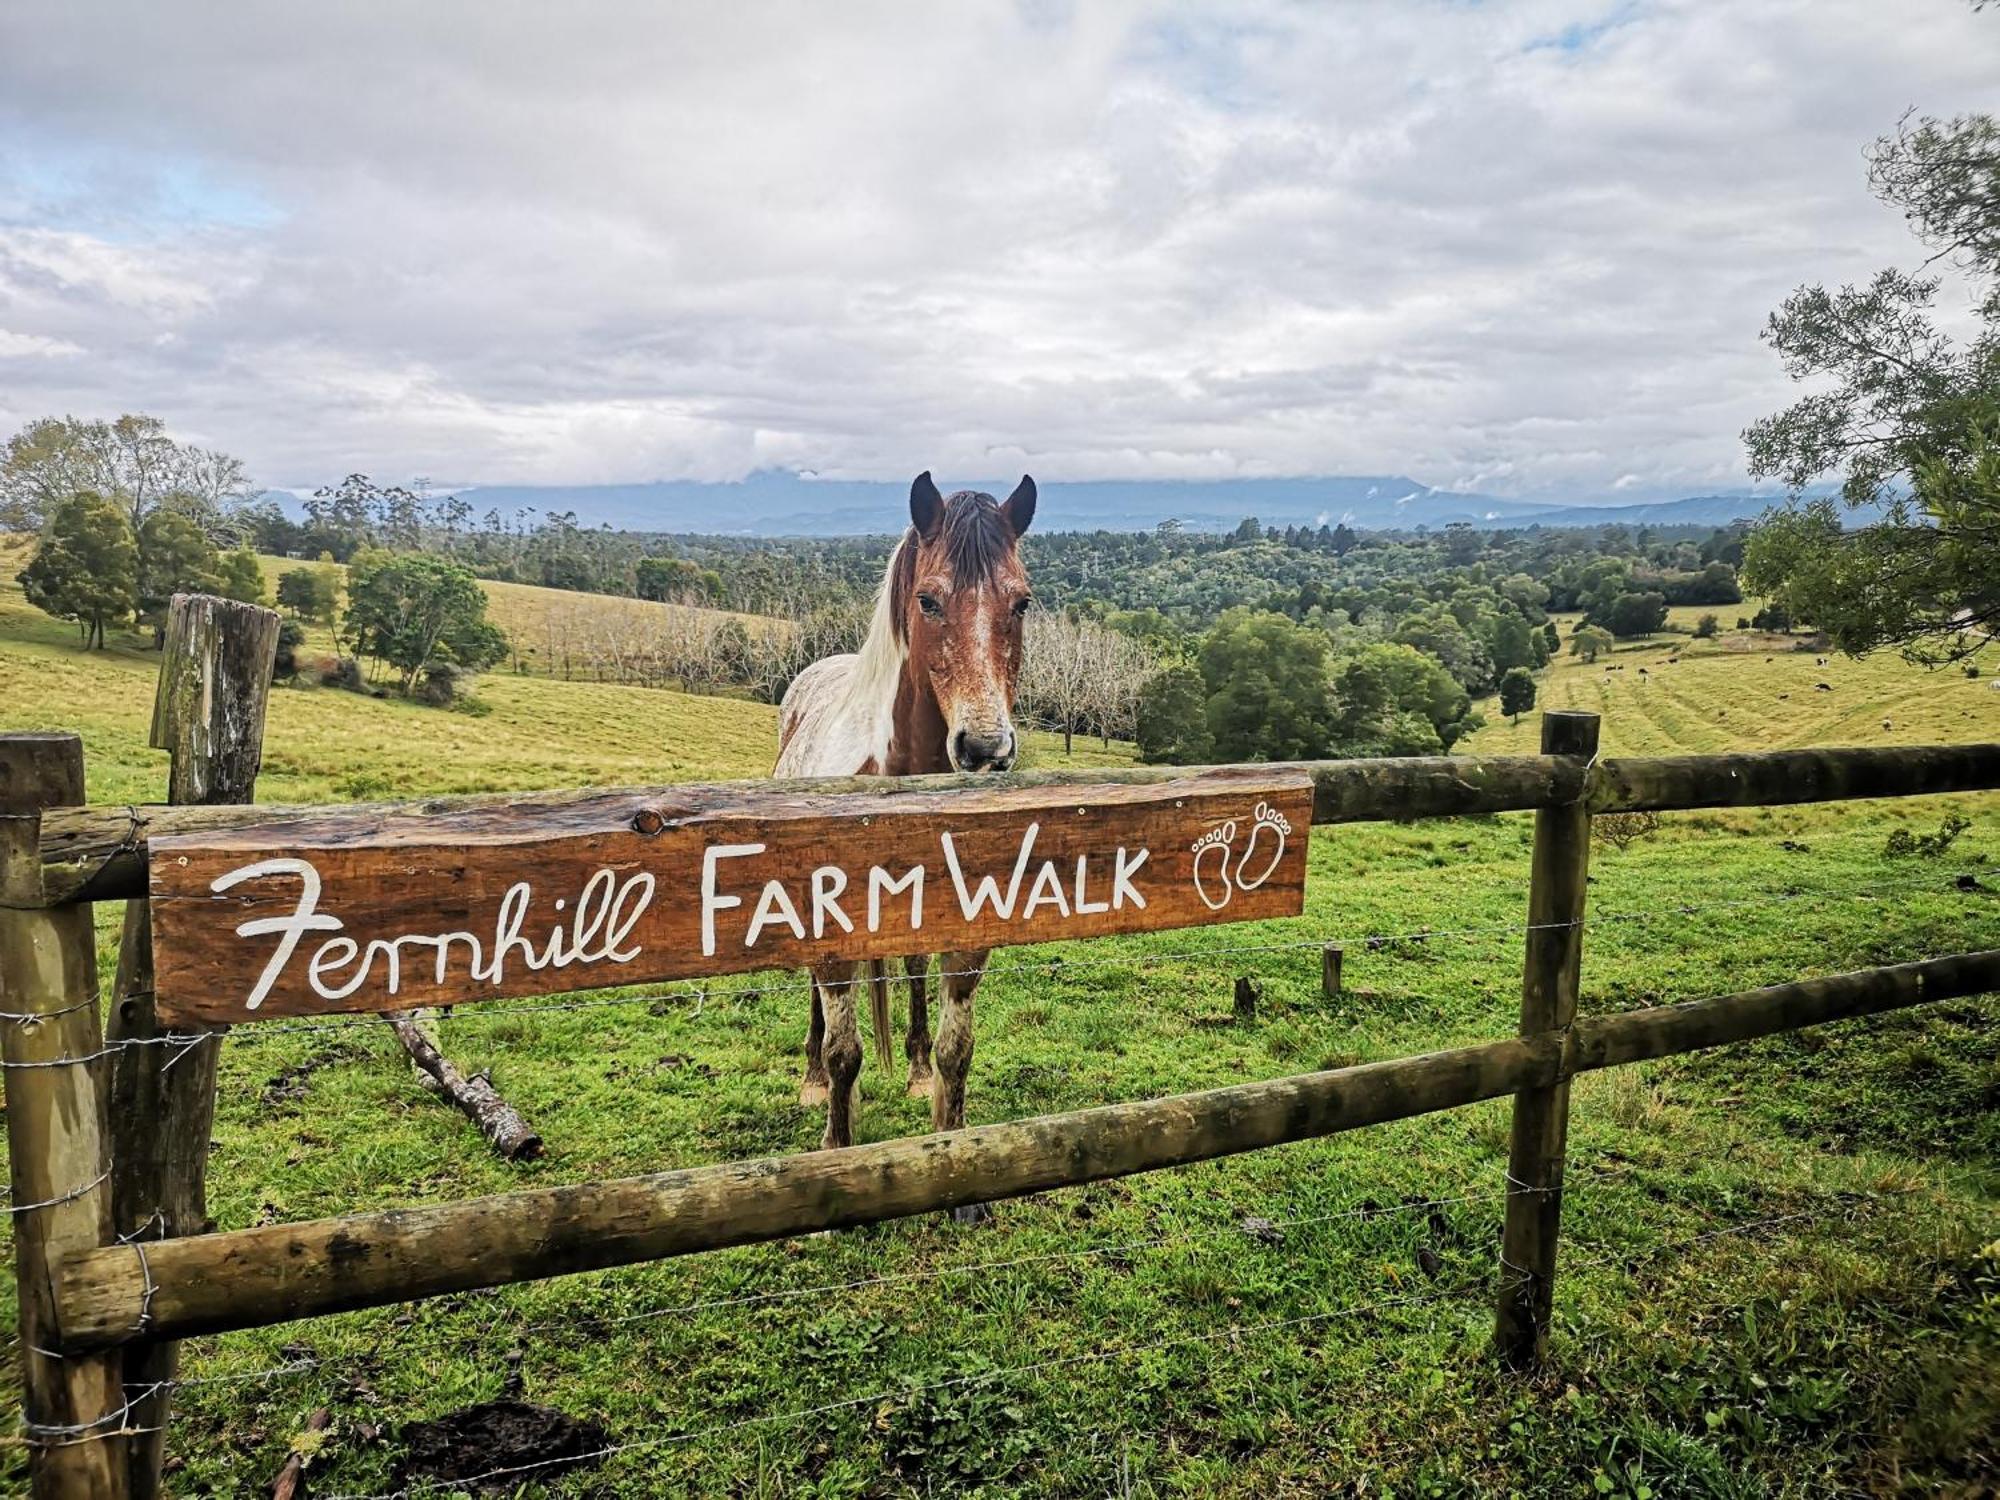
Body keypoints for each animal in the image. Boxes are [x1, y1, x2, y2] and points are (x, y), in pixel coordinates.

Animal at [772, 472, 1040, 1184]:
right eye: (928, 600)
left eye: (1022, 602)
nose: (985, 748)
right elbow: (845, 1053)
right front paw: (836, 1143)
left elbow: (957, 1049)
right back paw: (810, 1080)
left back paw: (914, 1067)